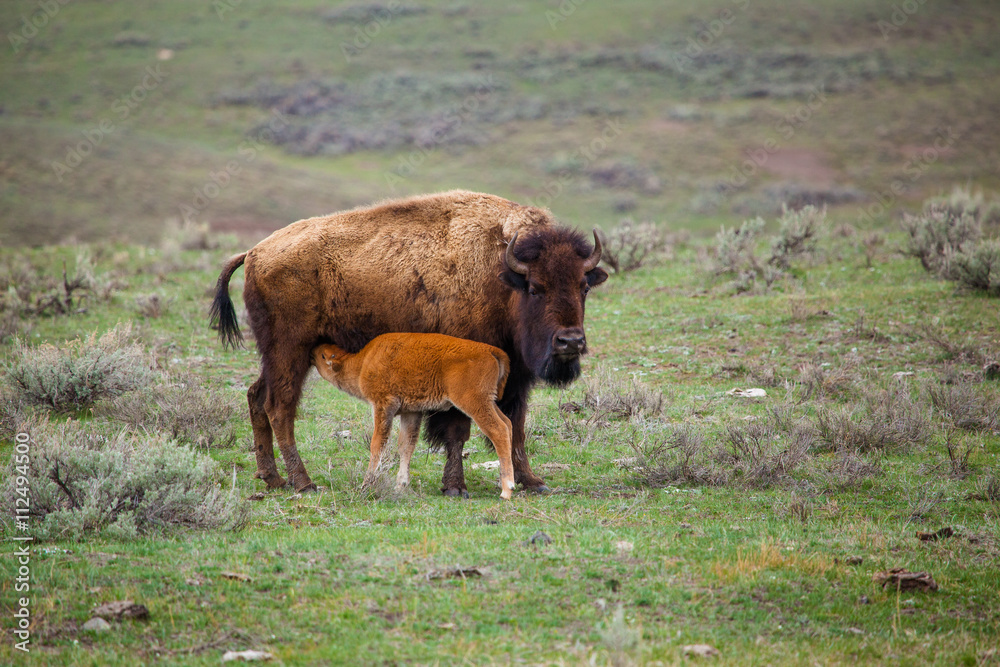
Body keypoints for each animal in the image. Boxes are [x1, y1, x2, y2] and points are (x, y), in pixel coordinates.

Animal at [312, 334, 516, 500]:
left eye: (323, 355)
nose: (313, 351)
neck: (362, 363)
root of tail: (490, 350)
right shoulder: (410, 412)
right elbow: (406, 446)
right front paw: (400, 485)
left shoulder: (383, 406)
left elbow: (378, 444)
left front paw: (366, 484)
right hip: (489, 402)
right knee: (508, 424)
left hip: (475, 403)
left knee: (498, 430)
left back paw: (506, 490)